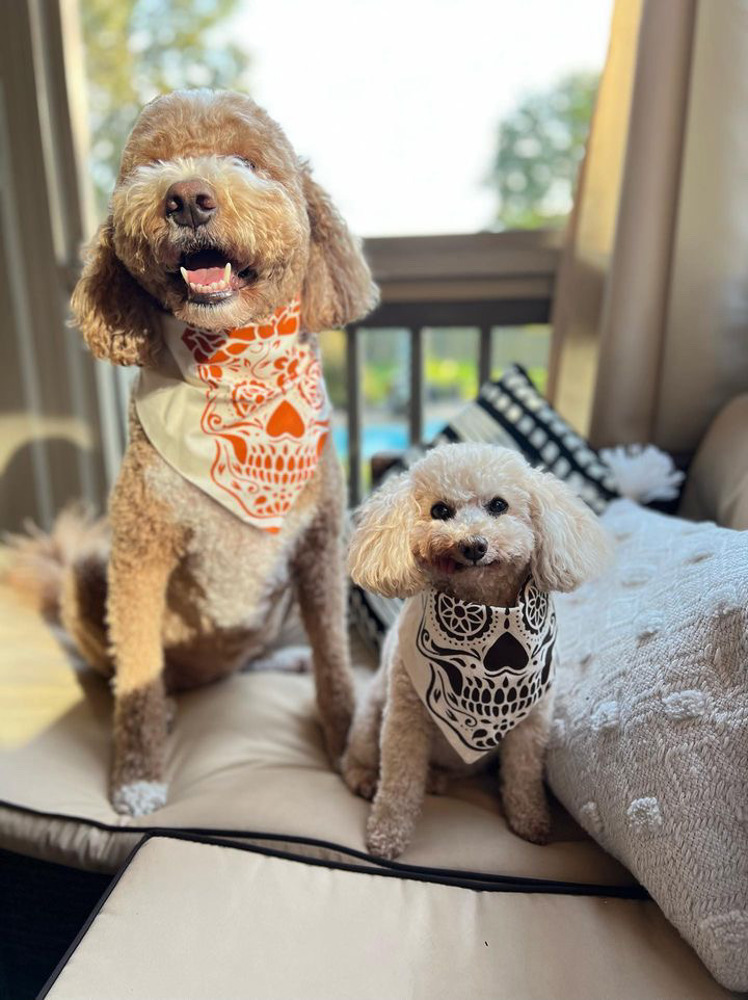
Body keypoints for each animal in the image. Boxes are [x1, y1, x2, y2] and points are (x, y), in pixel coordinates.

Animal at [16, 90, 380, 816]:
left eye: (248, 160)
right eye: (148, 167)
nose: (186, 197)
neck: (233, 368)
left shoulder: (319, 547)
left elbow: (334, 659)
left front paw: (347, 741)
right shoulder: (137, 551)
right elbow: (135, 672)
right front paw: (137, 774)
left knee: (245, 658)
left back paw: (273, 660)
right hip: (88, 570)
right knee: (128, 670)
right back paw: (166, 706)